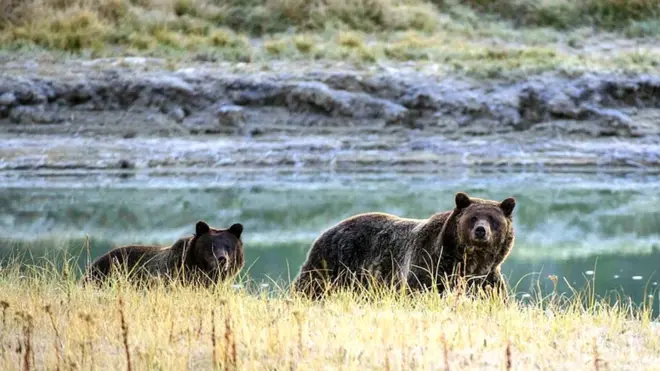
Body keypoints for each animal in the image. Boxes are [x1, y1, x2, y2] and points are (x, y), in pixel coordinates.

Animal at [292, 192, 516, 300]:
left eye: (493, 219)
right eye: (473, 217)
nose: (481, 231)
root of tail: (328, 229)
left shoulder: (486, 279)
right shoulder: (429, 265)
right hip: (333, 262)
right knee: (309, 287)